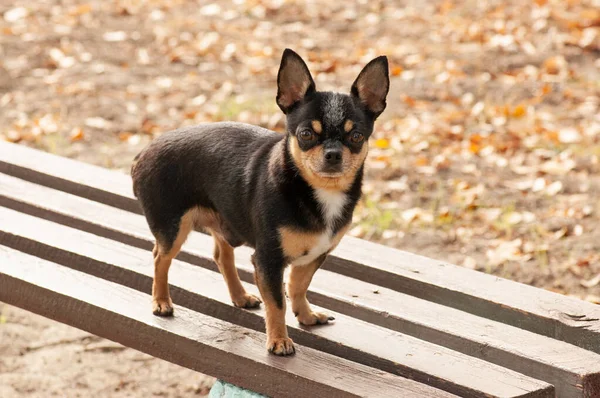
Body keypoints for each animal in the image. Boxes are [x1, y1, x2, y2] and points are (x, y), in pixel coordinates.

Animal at [131, 48, 390, 356]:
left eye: (356, 136)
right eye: (306, 134)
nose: (333, 154)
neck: (317, 191)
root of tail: (144, 151)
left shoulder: (315, 254)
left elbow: (298, 286)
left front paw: (306, 316)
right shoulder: (268, 260)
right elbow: (277, 302)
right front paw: (279, 341)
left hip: (225, 217)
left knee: (222, 256)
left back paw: (240, 296)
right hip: (172, 228)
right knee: (160, 257)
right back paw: (161, 301)